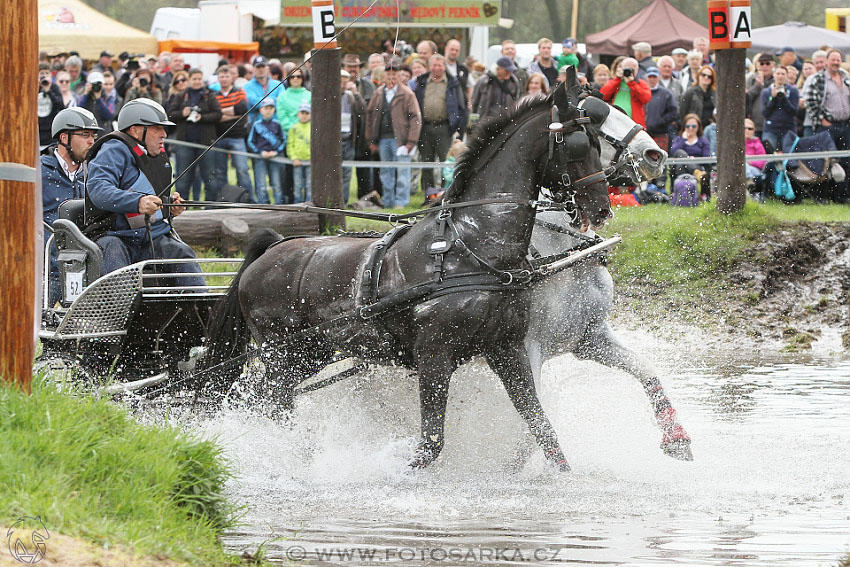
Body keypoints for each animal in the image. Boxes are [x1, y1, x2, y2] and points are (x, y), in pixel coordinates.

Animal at [199, 76, 608, 474]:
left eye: (597, 142)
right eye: (576, 146)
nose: (602, 208)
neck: (471, 246)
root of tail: (269, 250)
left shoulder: (506, 347)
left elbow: (542, 428)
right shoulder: (434, 355)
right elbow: (430, 443)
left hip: (310, 353)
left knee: (263, 399)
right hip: (283, 354)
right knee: (270, 402)